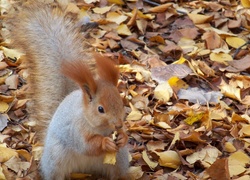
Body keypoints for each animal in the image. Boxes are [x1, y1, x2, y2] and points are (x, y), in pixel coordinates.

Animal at [6, 1, 129, 180]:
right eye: (100, 109)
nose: (119, 124)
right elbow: (86, 145)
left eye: (121, 102)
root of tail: (85, 169)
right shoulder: (75, 130)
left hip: (119, 159)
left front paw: (123, 137)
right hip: (56, 158)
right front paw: (105, 142)